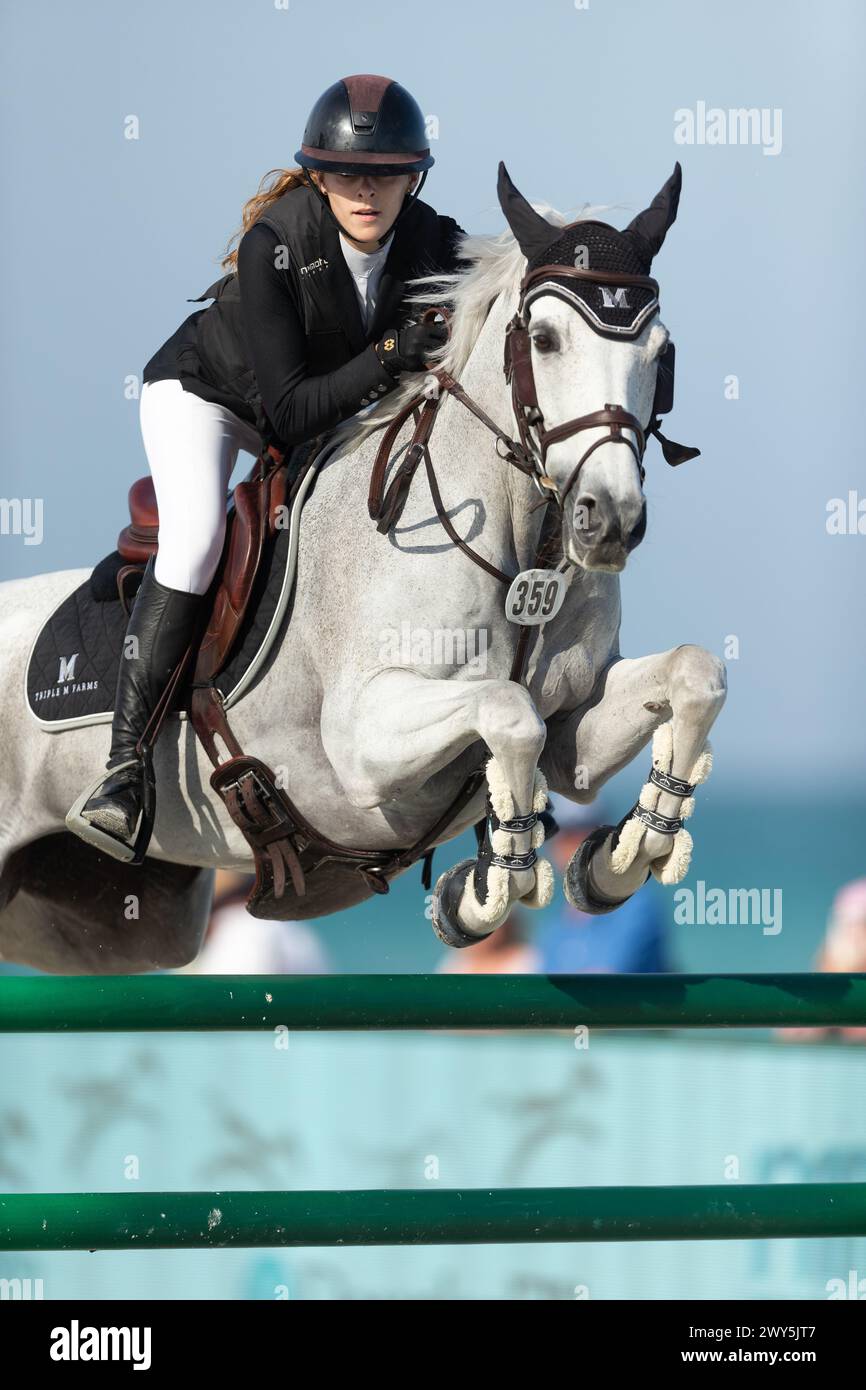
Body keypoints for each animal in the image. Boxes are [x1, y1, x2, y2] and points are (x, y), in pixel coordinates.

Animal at [0, 162, 722, 973]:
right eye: (544, 339)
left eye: (661, 353)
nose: (609, 521)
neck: (517, 544)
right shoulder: (361, 744)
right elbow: (510, 711)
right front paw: (489, 885)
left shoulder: (578, 726)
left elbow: (692, 675)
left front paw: (618, 857)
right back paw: (115, 799)